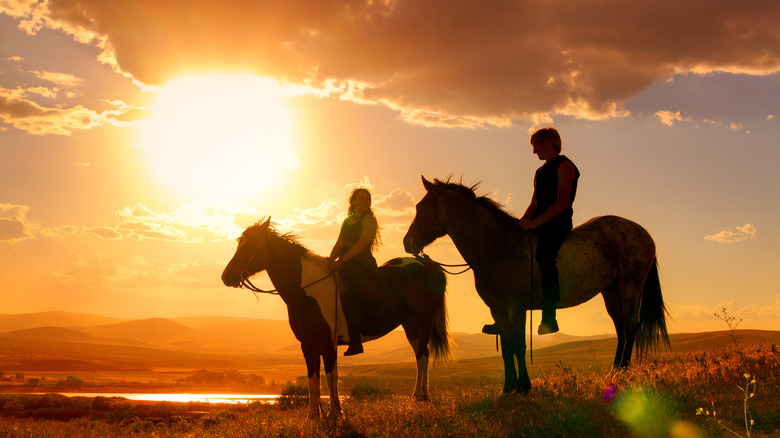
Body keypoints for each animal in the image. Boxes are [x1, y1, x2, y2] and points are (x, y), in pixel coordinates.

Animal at [222, 218, 448, 418]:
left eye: (250, 245)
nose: (226, 277)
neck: (309, 291)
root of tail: (430, 265)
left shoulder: (327, 342)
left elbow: (331, 377)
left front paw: (334, 414)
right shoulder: (308, 344)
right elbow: (314, 379)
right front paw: (314, 417)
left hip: (423, 320)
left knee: (422, 357)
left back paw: (420, 398)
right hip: (411, 325)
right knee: (421, 354)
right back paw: (421, 397)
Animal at [402, 176, 672, 396]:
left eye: (422, 211)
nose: (407, 242)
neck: (498, 248)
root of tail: (641, 231)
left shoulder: (516, 306)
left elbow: (518, 344)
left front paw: (523, 386)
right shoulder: (497, 309)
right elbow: (507, 347)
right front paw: (507, 388)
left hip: (629, 286)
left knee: (631, 326)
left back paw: (624, 372)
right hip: (610, 291)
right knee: (620, 328)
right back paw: (614, 372)